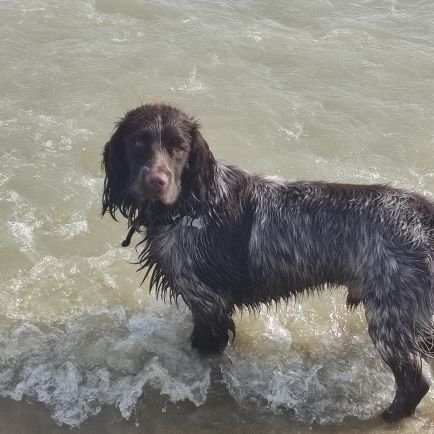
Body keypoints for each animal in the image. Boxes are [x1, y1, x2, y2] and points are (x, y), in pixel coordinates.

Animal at [102, 101, 434, 420]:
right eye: (138, 142)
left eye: (179, 147)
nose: (156, 181)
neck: (191, 206)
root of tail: (424, 213)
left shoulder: (209, 304)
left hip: (391, 318)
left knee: (415, 381)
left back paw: (390, 415)